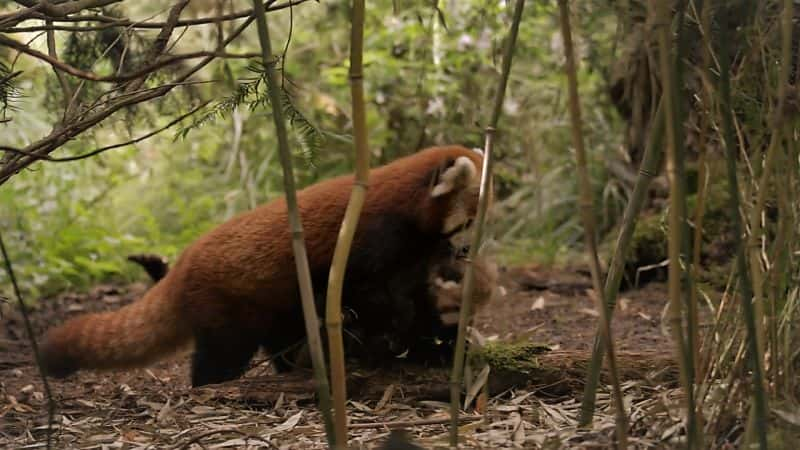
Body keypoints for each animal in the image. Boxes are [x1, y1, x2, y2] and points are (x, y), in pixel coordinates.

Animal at [39, 145, 488, 386]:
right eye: (471, 218)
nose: (469, 248)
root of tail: (184, 262)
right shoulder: (370, 241)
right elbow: (374, 301)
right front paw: (398, 345)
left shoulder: (412, 256)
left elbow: (416, 301)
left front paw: (442, 344)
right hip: (226, 306)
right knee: (221, 355)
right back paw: (211, 385)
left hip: (274, 303)